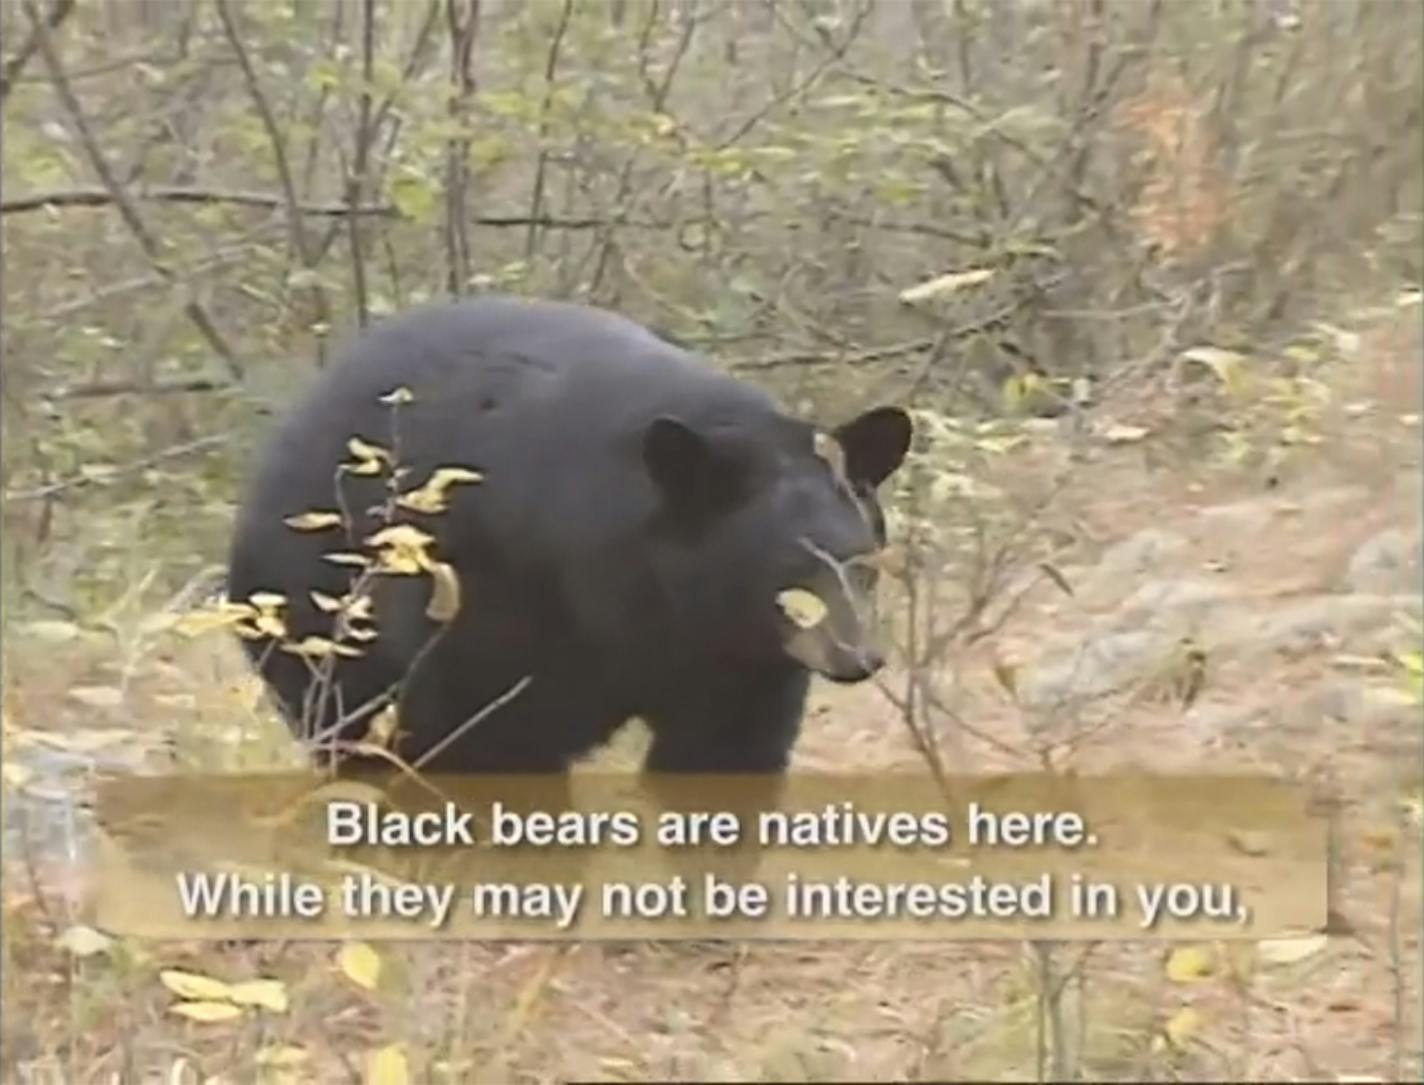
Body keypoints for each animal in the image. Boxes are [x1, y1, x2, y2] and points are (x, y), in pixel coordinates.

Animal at [224, 291, 911, 774]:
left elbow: (726, 752)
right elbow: (475, 733)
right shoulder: (484, 601)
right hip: (307, 610)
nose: (858, 658)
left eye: (864, 561)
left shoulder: (739, 659)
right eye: (787, 570)